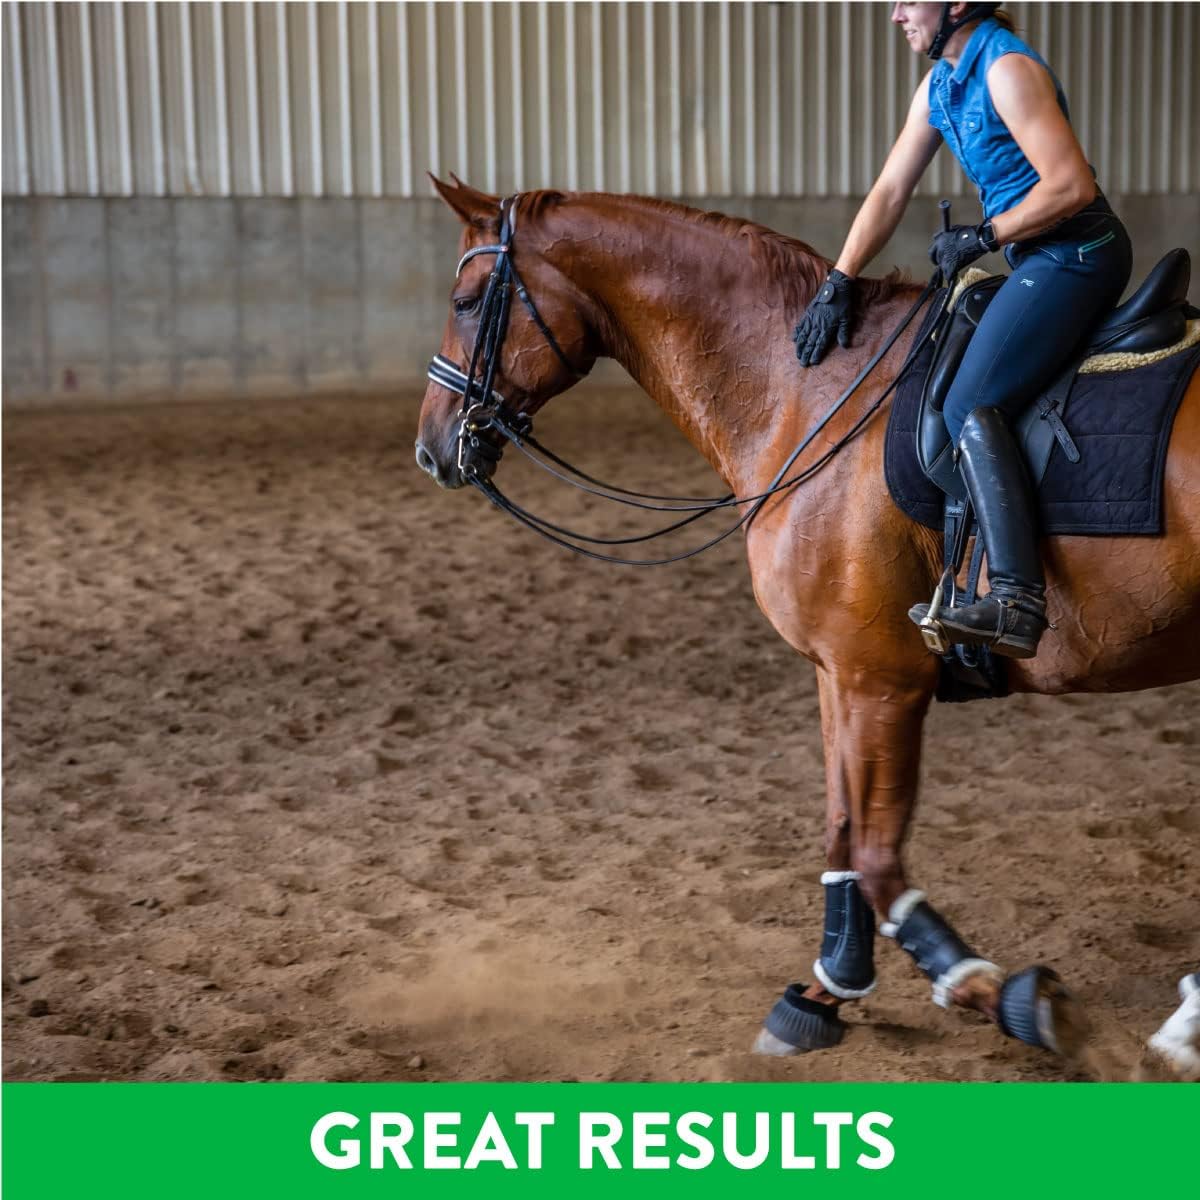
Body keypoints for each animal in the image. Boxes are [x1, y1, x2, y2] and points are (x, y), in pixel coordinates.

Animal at [415, 176, 1200, 1078]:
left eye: (466, 301)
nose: (431, 447)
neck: (804, 394)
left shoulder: (881, 680)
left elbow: (878, 855)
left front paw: (998, 993)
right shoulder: (839, 673)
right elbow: (841, 834)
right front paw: (827, 990)